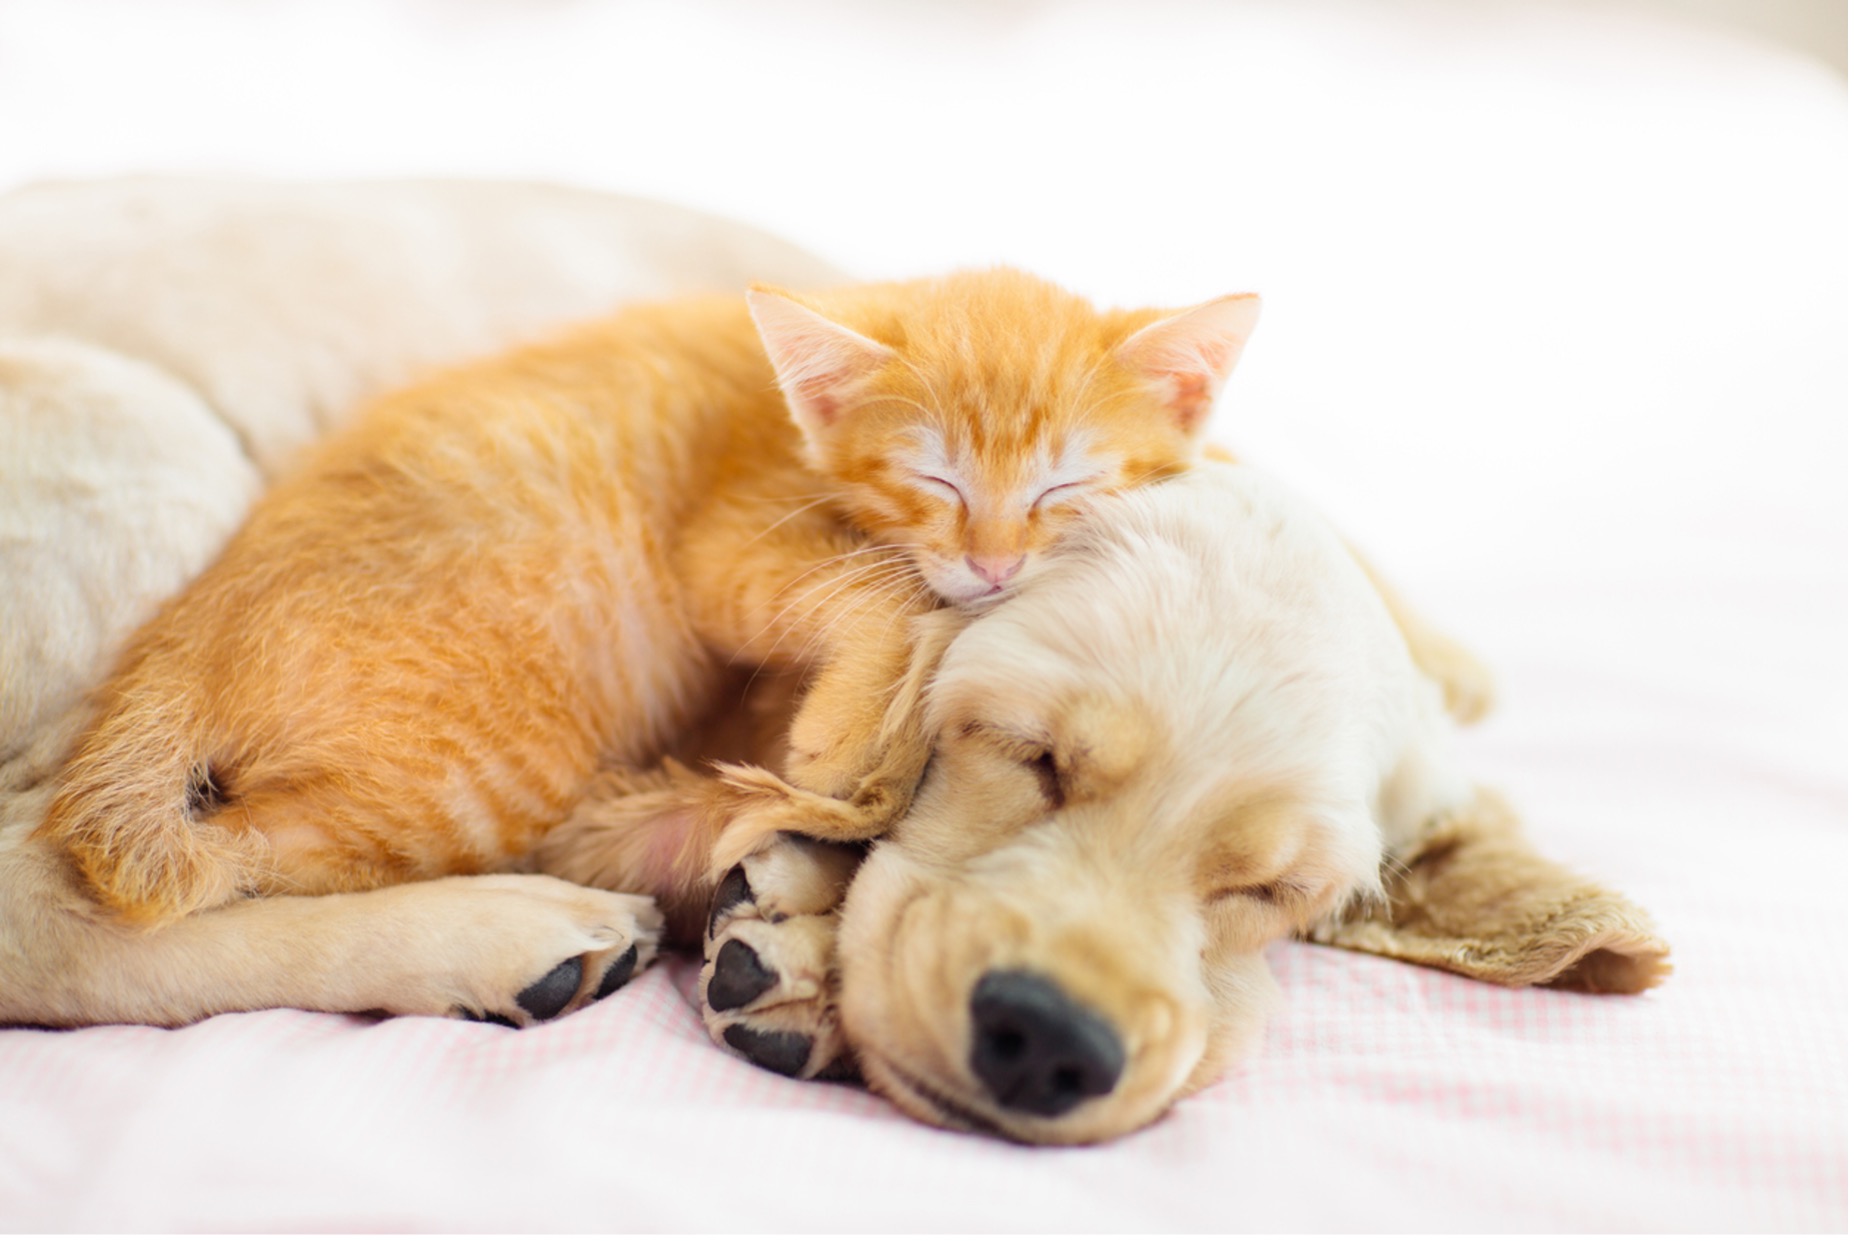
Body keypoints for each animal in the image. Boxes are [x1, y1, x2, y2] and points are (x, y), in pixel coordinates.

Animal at [39, 270, 1260, 927]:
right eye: (940, 481)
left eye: (1063, 487)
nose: (1000, 567)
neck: (795, 425)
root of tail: (189, 632)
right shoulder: (725, 544)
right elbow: (881, 602)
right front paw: (833, 734)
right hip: (489, 765)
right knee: (248, 858)